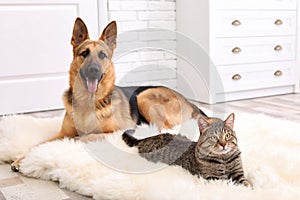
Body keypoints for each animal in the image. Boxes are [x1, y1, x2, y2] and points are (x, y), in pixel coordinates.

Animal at [9, 17, 206, 172]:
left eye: (103, 55)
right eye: (84, 53)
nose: (94, 70)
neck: (88, 102)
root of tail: (190, 103)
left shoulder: (116, 131)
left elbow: (87, 136)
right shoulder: (61, 133)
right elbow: (39, 144)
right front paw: (21, 158)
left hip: (144, 97)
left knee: (164, 128)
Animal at [123, 114, 252, 188]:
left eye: (227, 136)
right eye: (214, 137)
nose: (224, 144)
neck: (224, 159)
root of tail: (148, 138)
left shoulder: (238, 173)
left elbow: (246, 183)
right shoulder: (213, 178)